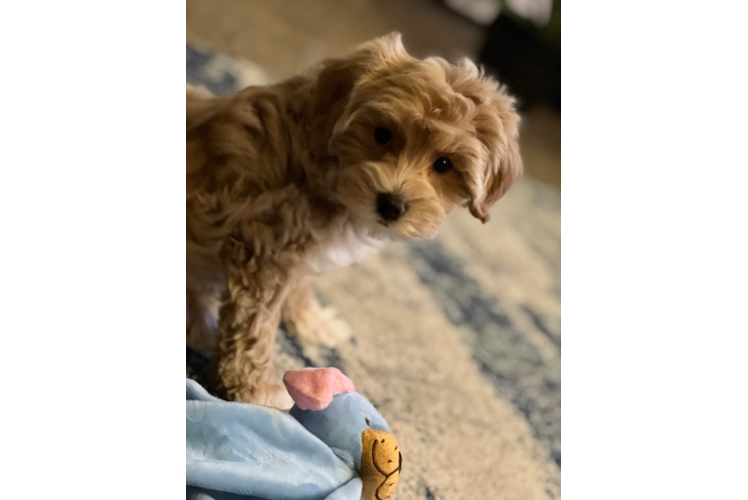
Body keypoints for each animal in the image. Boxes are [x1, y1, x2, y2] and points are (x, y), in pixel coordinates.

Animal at [186, 32, 524, 406]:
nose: (391, 204)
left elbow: (297, 285)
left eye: (444, 164)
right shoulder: (261, 249)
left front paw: (311, 322)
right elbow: (253, 325)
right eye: (382, 134)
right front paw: (255, 393)